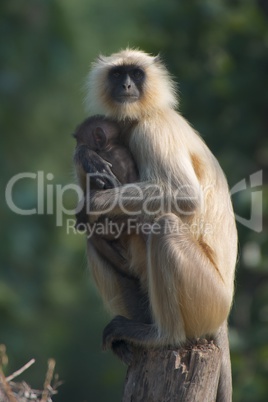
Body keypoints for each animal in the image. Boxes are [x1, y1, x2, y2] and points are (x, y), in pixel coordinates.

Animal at [83, 48, 237, 402]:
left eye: (136, 74)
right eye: (118, 74)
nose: (126, 84)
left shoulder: (152, 130)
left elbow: (185, 197)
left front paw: (95, 201)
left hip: (208, 299)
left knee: (164, 225)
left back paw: (164, 336)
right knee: (95, 239)